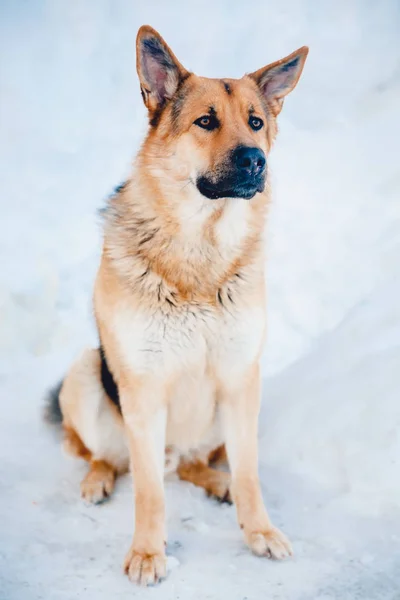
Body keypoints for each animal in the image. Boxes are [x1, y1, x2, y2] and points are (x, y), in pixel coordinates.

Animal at [46, 27, 310, 584]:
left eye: (256, 122)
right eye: (205, 121)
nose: (256, 159)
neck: (201, 252)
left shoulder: (240, 378)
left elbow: (250, 472)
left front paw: (259, 531)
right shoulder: (144, 391)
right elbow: (148, 492)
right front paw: (148, 553)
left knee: (193, 464)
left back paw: (216, 482)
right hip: (85, 374)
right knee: (103, 455)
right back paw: (97, 480)